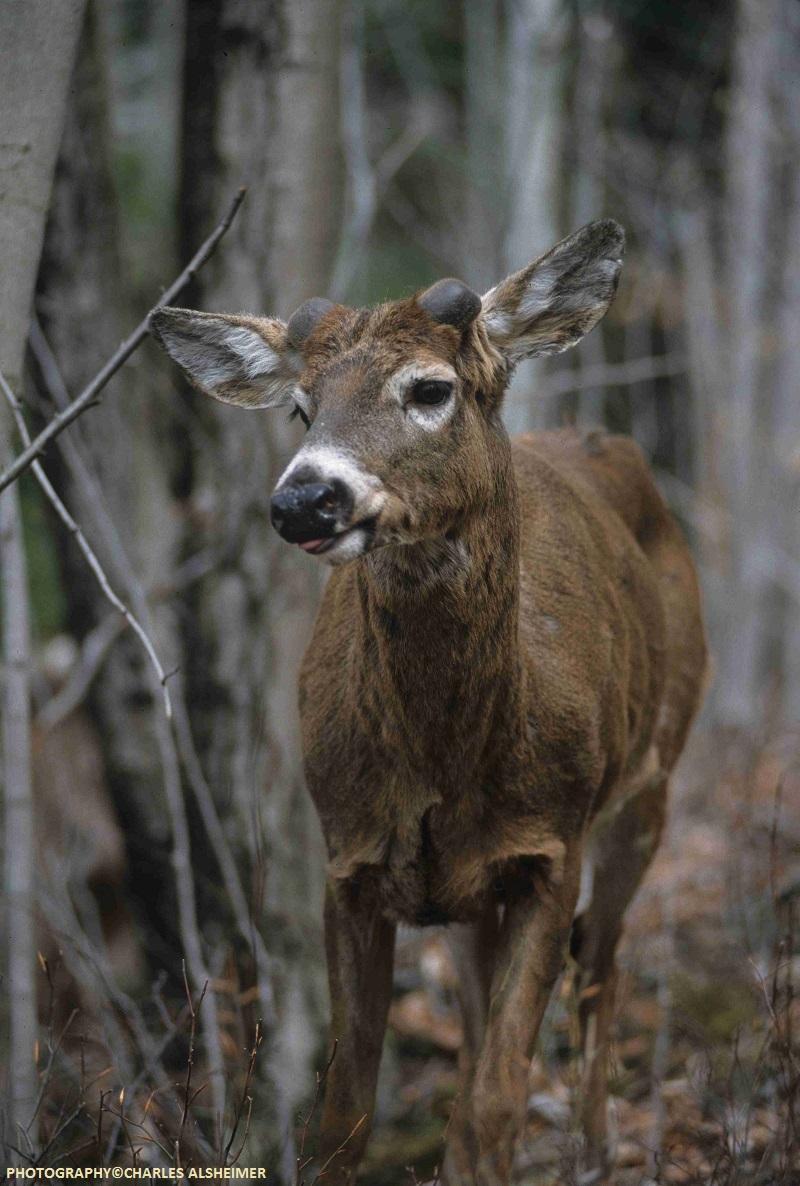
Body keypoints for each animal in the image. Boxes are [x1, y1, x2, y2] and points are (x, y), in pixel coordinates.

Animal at [150, 224, 706, 1186]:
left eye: (430, 389)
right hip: (467, 898)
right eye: (301, 407)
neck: (448, 762)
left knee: (601, 968)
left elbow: (495, 1103)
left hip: (651, 784)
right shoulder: (349, 859)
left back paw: (598, 1154)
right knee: (489, 1020)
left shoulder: (550, 848)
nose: (304, 499)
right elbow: (347, 1116)